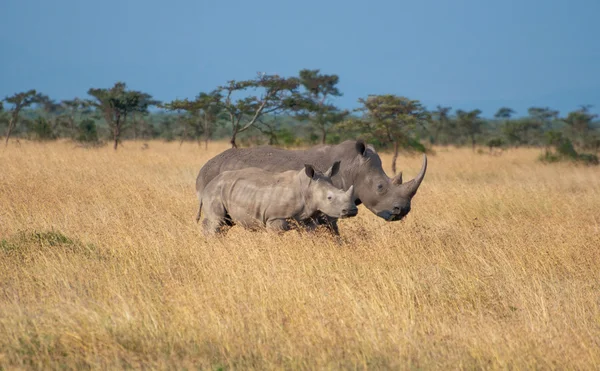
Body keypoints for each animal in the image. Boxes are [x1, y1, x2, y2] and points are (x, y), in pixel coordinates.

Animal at [199, 161, 356, 235]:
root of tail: (209, 183)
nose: (352, 210)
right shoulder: (274, 218)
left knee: (225, 223)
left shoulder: (308, 219)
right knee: (217, 221)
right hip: (215, 191)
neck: (308, 188)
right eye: (330, 198)